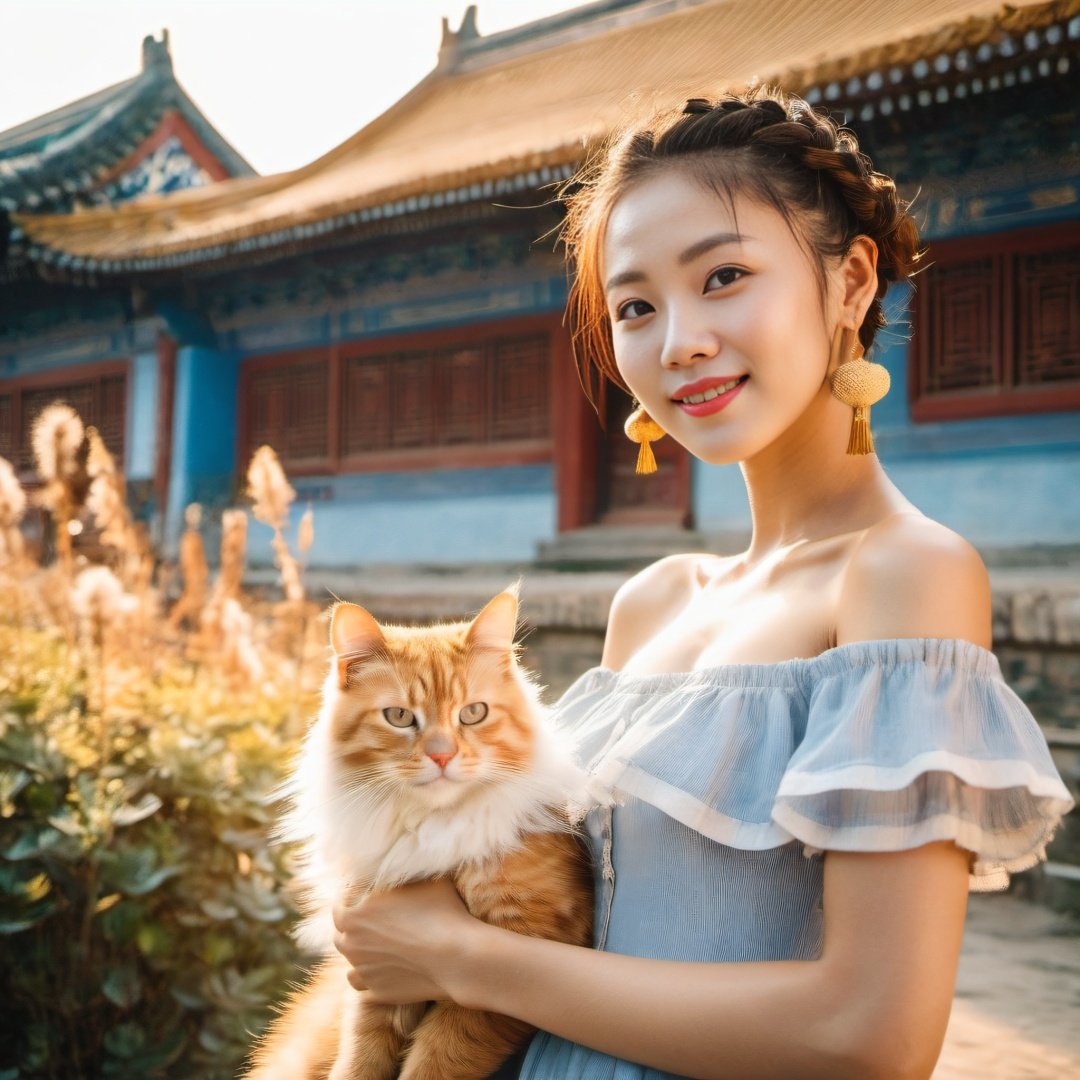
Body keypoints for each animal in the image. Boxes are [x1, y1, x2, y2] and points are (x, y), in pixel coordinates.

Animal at [244, 591, 591, 1080]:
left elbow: (435, 1059)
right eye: (399, 717)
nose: (442, 756)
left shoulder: (517, 952)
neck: (430, 828)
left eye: (473, 713)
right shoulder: (376, 989)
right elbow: (359, 1061)